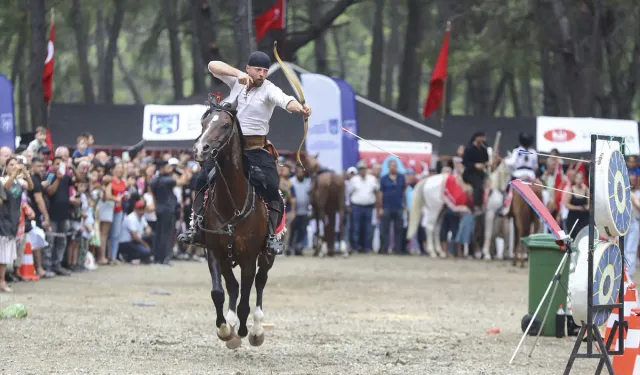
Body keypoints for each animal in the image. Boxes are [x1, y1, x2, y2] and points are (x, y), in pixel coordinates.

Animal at [194, 96, 276, 350]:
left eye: (224, 125)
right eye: (204, 123)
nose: (201, 149)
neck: (232, 202)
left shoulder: (249, 257)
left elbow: (246, 300)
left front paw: (243, 330)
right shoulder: (214, 252)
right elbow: (219, 292)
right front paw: (224, 329)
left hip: (267, 255)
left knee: (260, 282)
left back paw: (256, 329)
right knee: (233, 287)